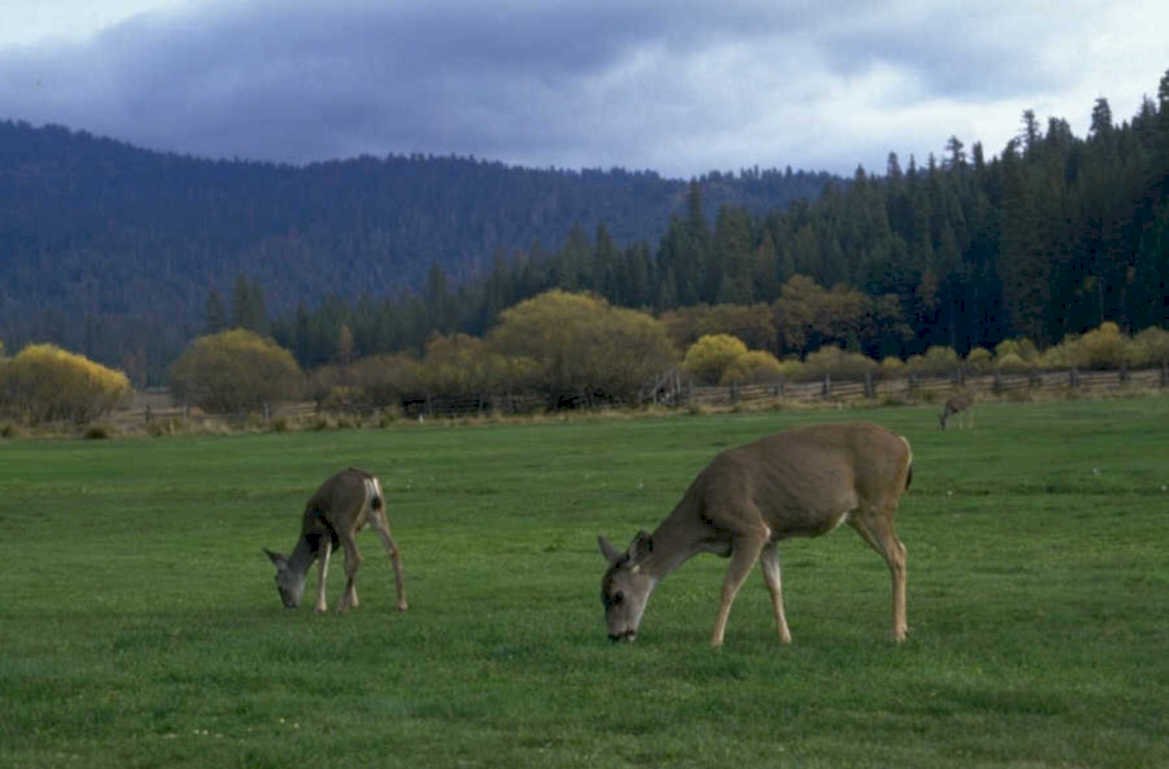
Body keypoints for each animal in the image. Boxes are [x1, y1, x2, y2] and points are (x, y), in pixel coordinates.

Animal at [264, 468, 407, 613]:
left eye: (279, 585)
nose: (289, 605)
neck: (308, 539)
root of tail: (368, 478)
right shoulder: (350, 533)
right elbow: (344, 563)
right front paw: (354, 602)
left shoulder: (323, 533)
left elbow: (322, 567)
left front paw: (320, 607)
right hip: (377, 515)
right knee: (393, 550)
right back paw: (401, 604)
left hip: (343, 519)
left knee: (357, 557)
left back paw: (341, 607)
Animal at [598, 422, 912, 648]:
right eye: (602, 595)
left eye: (617, 595)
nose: (615, 635)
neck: (703, 521)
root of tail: (904, 445)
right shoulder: (770, 536)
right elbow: (774, 585)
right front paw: (785, 638)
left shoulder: (750, 528)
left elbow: (729, 586)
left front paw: (715, 641)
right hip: (857, 516)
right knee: (901, 550)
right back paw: (905, 627)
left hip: (877, 505)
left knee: (896, 554)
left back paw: (897, 633)